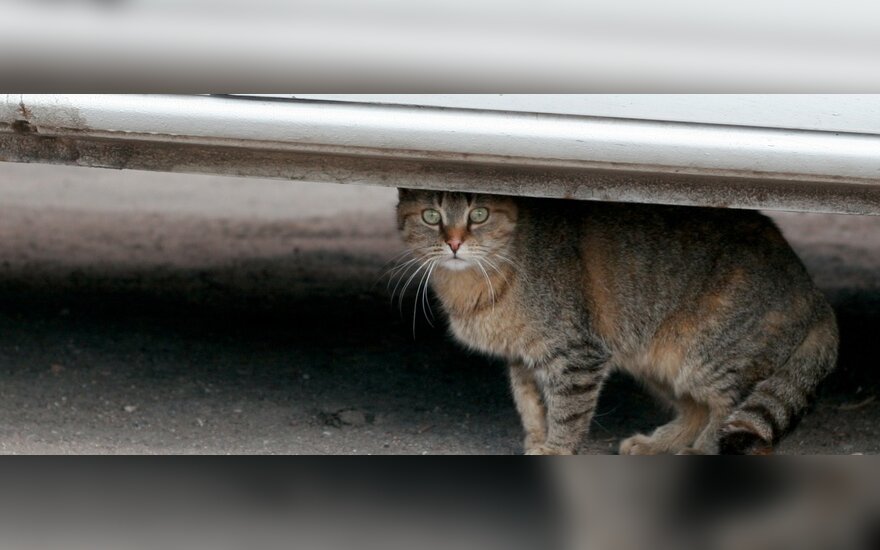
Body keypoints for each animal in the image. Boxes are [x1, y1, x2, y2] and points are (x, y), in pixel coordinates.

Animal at [396, 191, 836, 458]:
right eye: (431, 216)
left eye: (480, 214)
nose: (454, 242)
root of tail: (814, 291)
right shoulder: (522, 360)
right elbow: (530, 407)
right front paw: (537, 440)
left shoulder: (576, 355)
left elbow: (567, 411)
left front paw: (557, 449)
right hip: (659, 360)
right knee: (698, 409)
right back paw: (660, 445)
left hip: (710, 356)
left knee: (728, 407)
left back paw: (698, 450)